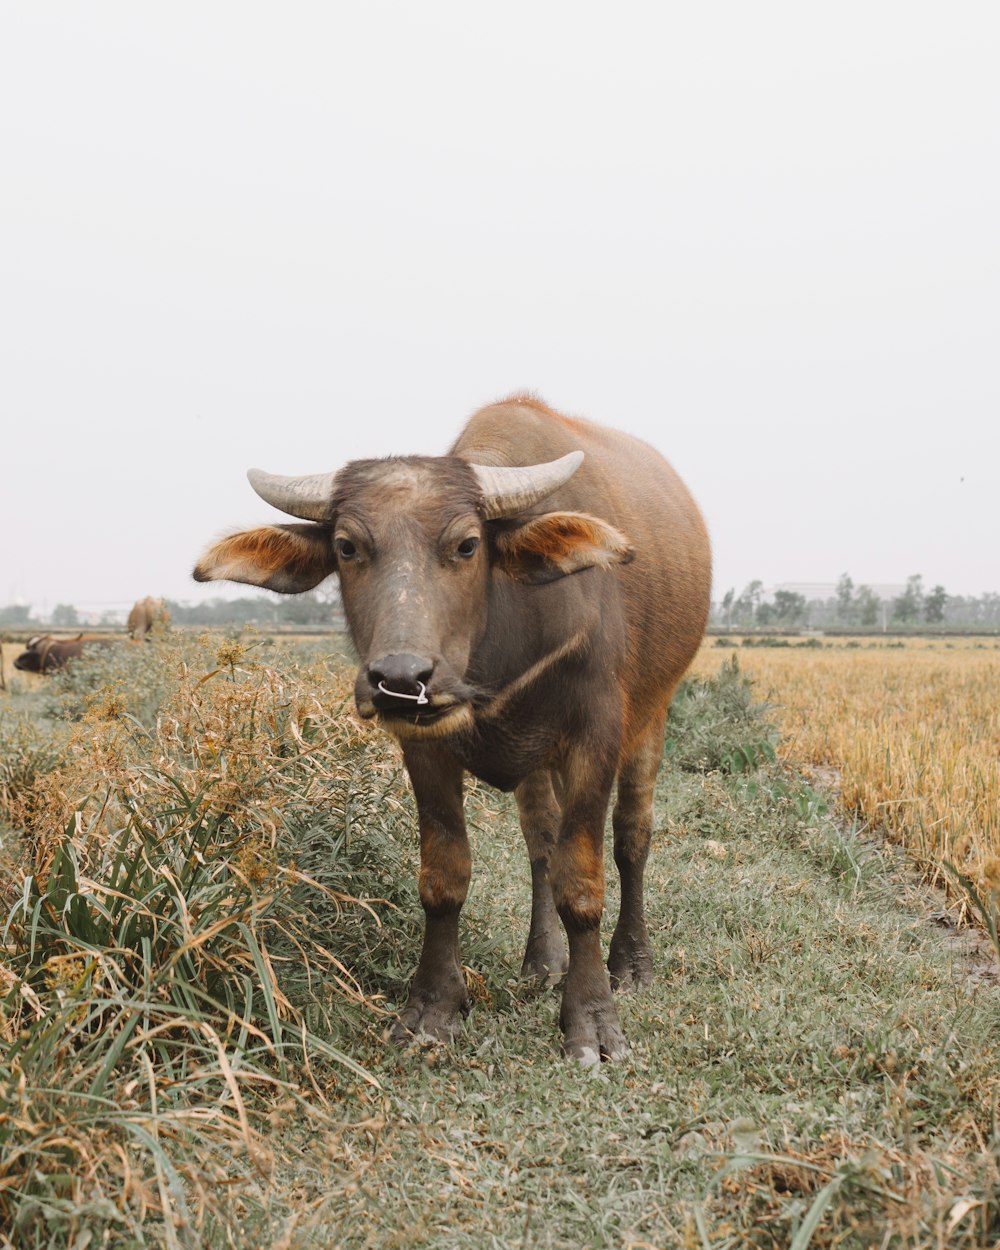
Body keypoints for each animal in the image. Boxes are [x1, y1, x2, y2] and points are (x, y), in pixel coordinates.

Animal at [193, 395, 710, 1060]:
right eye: (346, 546)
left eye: (467, 545)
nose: (399, 677)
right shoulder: (425, 747)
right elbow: (446, 876)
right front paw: (433, 1009)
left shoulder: (596, 736)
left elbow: (582, 880)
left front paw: (593, 1022)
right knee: (540, 840)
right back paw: (542, 962)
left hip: (654, 715)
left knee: (631, 837)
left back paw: (632, 962)